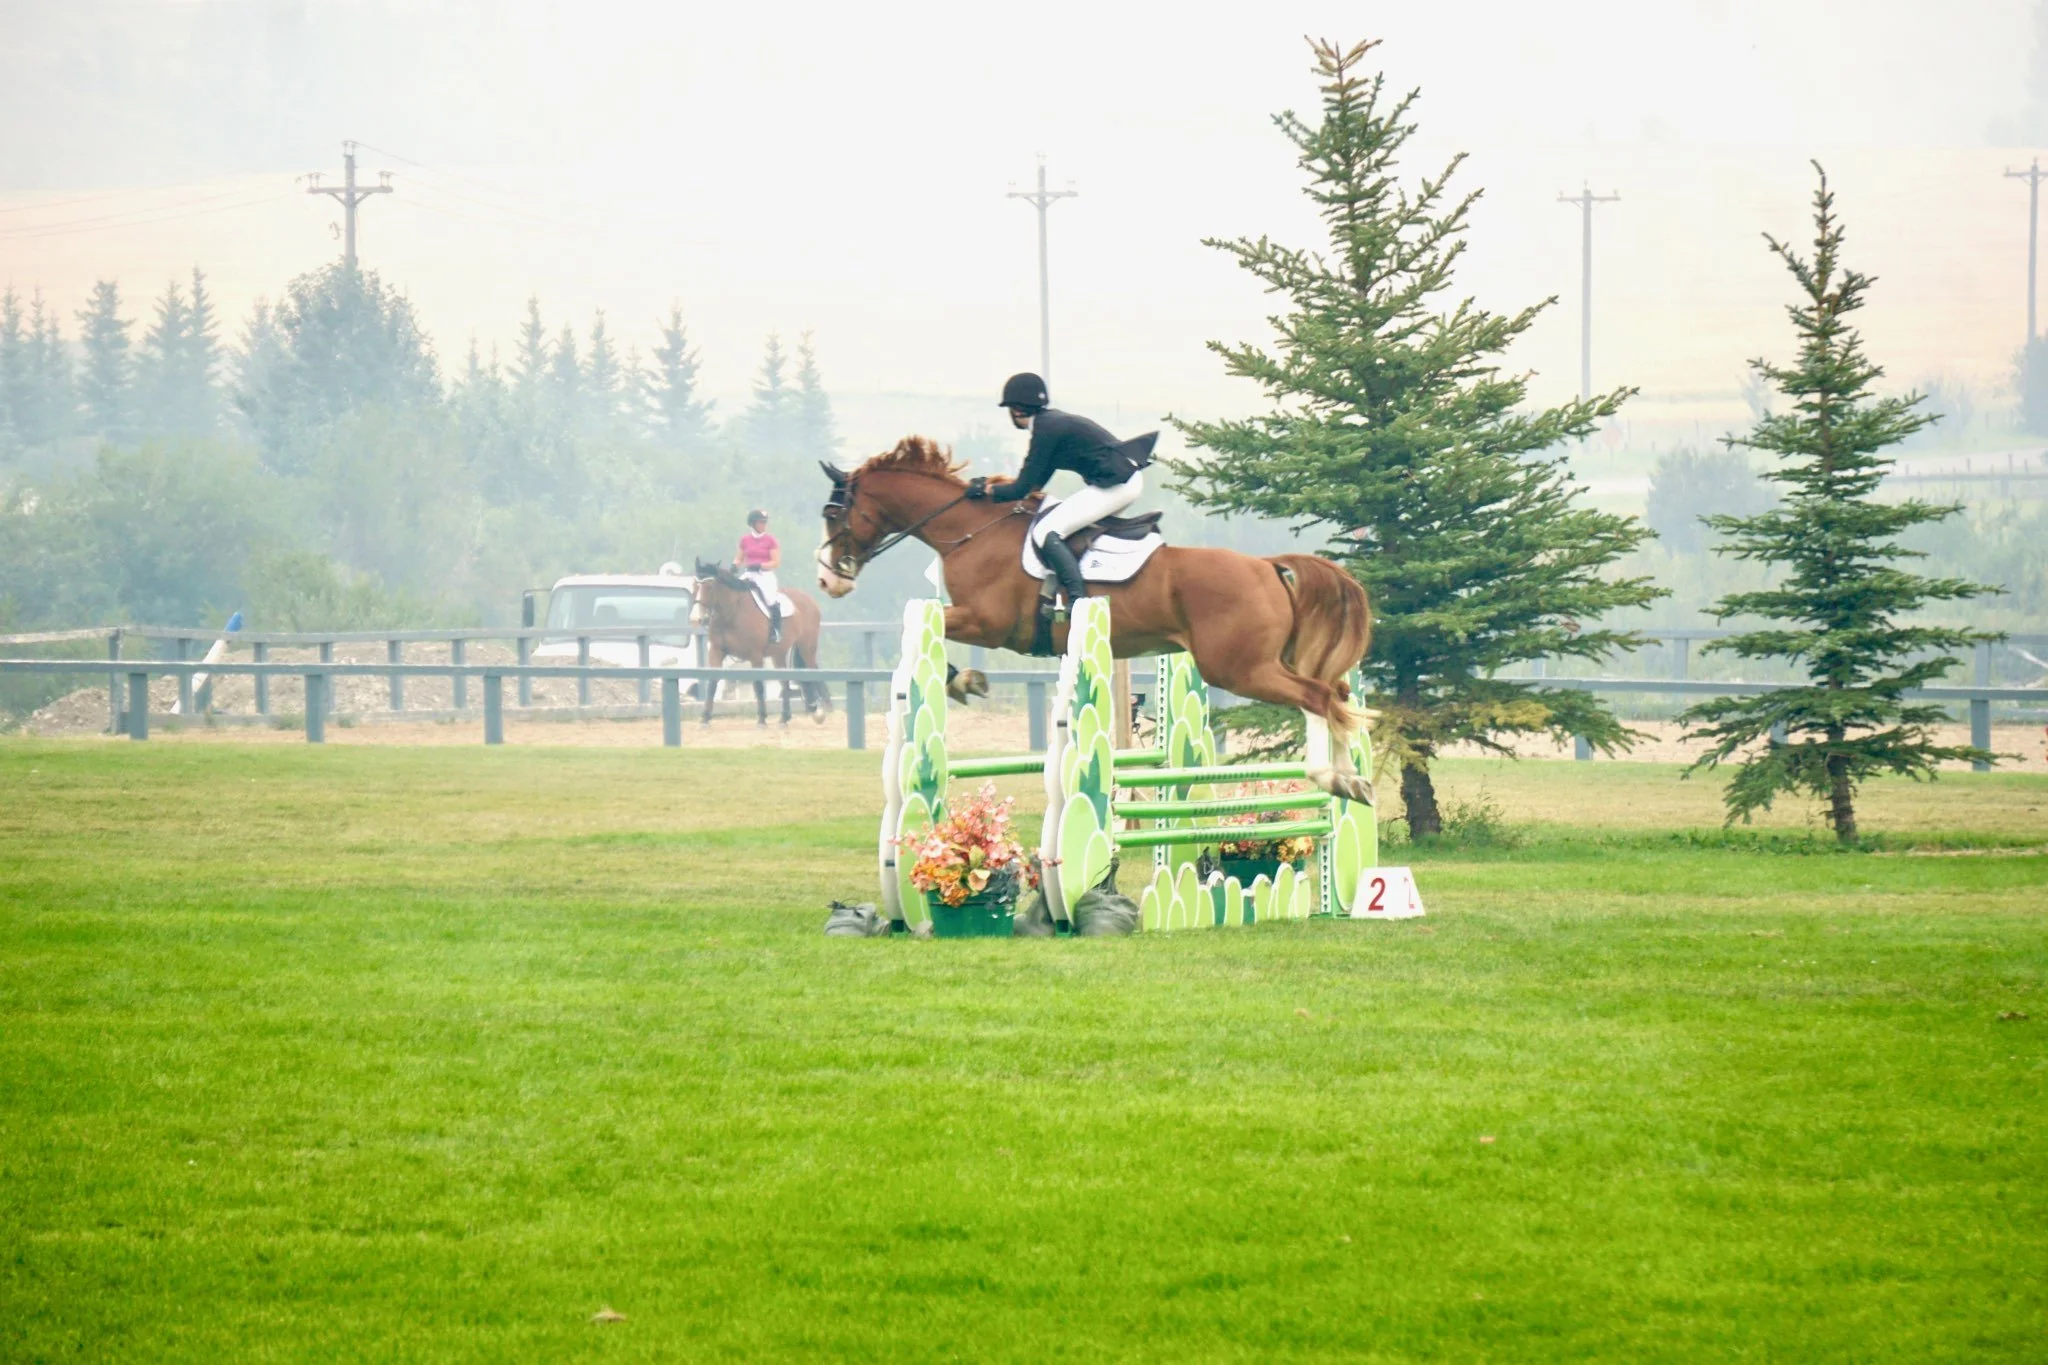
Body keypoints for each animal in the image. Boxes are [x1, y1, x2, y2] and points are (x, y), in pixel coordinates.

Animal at [690, 559, 831, 727]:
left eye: (710, 587)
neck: (732, 612)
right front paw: (705, 718)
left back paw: (821, 711)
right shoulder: (716, 651)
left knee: (812, 672)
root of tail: (809, 600)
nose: (698, 619)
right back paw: (784, 718)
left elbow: (758, 686)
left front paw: (762, 719)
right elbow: (712, 684)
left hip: (806, 648)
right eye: (694, 585)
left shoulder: (755, 655)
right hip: (778, 653)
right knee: (785, 682)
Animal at [815, 437, 1375, 803]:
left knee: (1318, 697)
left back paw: (1329, 778)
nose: (827, 580)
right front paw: (966, 681)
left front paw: (963, 681)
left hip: (1238, 668)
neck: (970, 530)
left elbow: (914, 628)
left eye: (833, 514)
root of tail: (1267, 566)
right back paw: (1354, 781)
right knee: (1338, 697)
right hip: (1260, 662)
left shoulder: (987, 623)